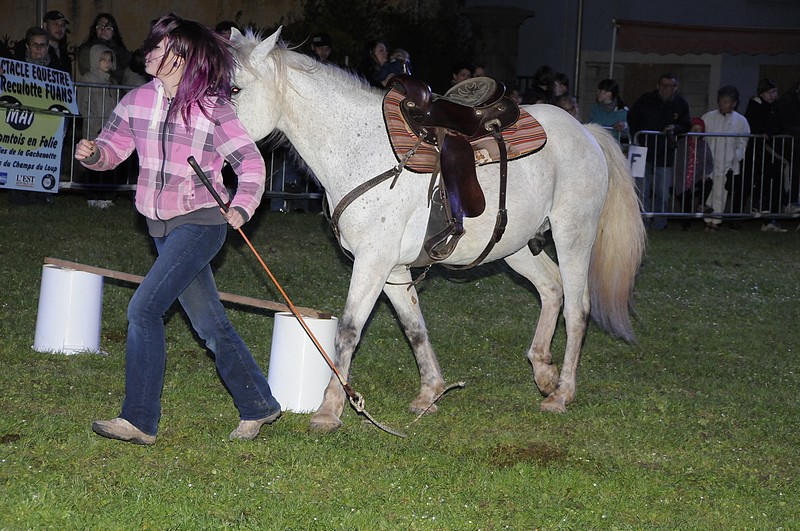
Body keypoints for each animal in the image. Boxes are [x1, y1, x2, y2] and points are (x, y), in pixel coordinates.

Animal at [230, 28, 646, 433]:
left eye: (234, 89)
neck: (362, 149)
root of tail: (587, 131)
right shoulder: (393, 269)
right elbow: (414, 327)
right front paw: (430, 392)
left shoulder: (373, 261)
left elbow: (348, 329)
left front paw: (329, 410)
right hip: (515, 246)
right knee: (551, 288)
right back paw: (544, 370)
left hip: (573, 234)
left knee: (577, 308)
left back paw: (561, 393)